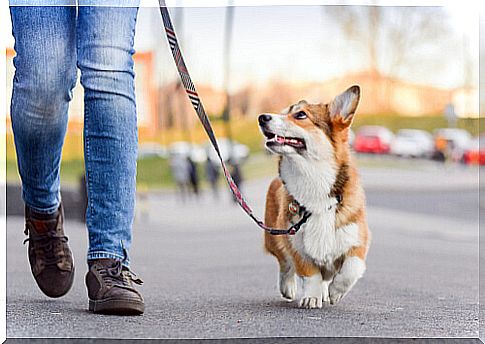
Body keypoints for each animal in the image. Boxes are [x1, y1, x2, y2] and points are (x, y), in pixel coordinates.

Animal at [260, 85, 368, 310]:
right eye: (284, 112)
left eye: (300, 115)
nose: (261, 117)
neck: (313, 179)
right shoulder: (295, 243)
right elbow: (311, 275)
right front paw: (311, 297)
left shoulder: (357, 241)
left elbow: (351, 269)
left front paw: (336, 292)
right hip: (274, 237)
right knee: (285, 264)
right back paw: (288, 287)